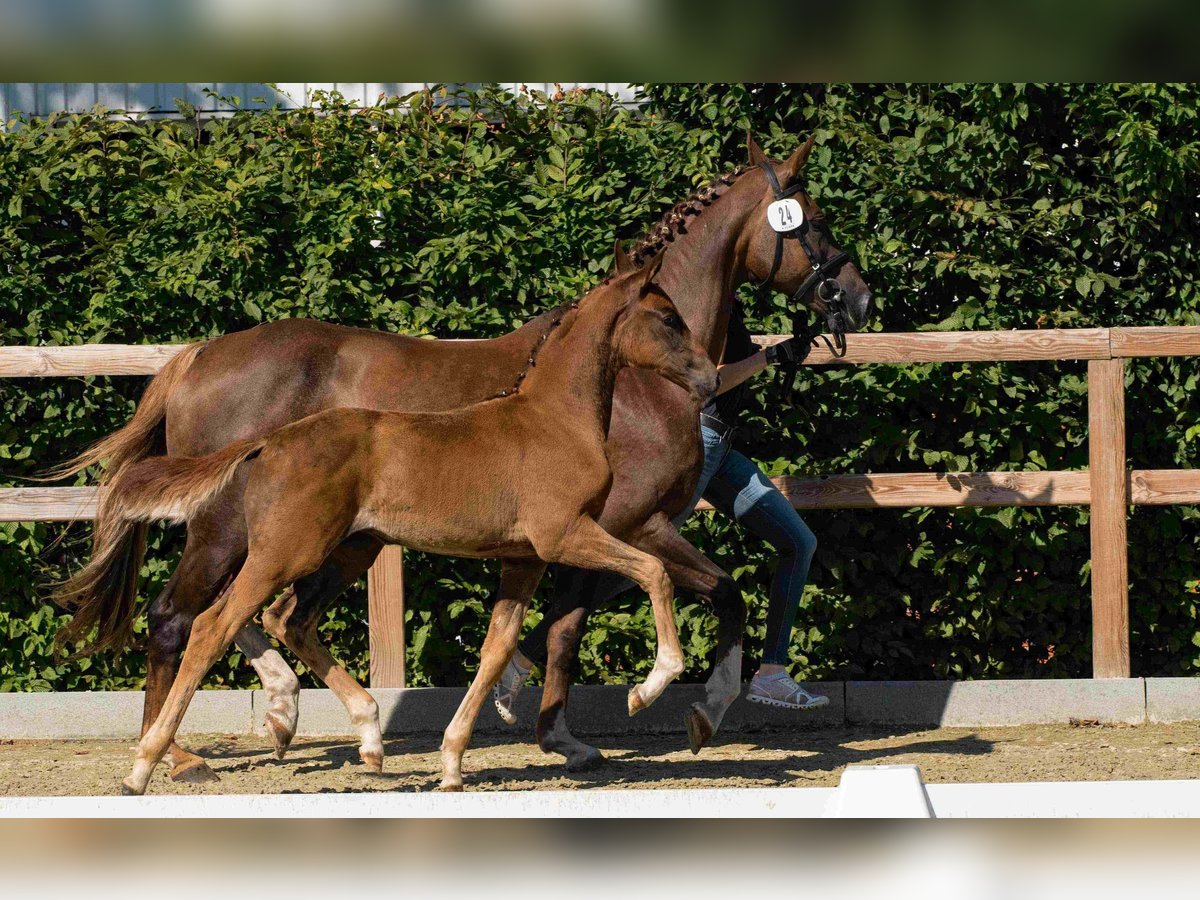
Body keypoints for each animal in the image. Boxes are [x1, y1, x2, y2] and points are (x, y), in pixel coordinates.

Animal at [96, 255, 710, 796]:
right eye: (668, 317)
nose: (707, 378)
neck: (554, 419)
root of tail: (270, 440)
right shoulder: (565, 534)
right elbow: (654, 571)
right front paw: (650, 686)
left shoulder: (524, 558)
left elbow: (496, 648)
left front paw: (452, 765)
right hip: (283, 551)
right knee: (207, 625)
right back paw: (150, 766)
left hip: (347, 550)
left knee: (281, 621)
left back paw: (364, 736)